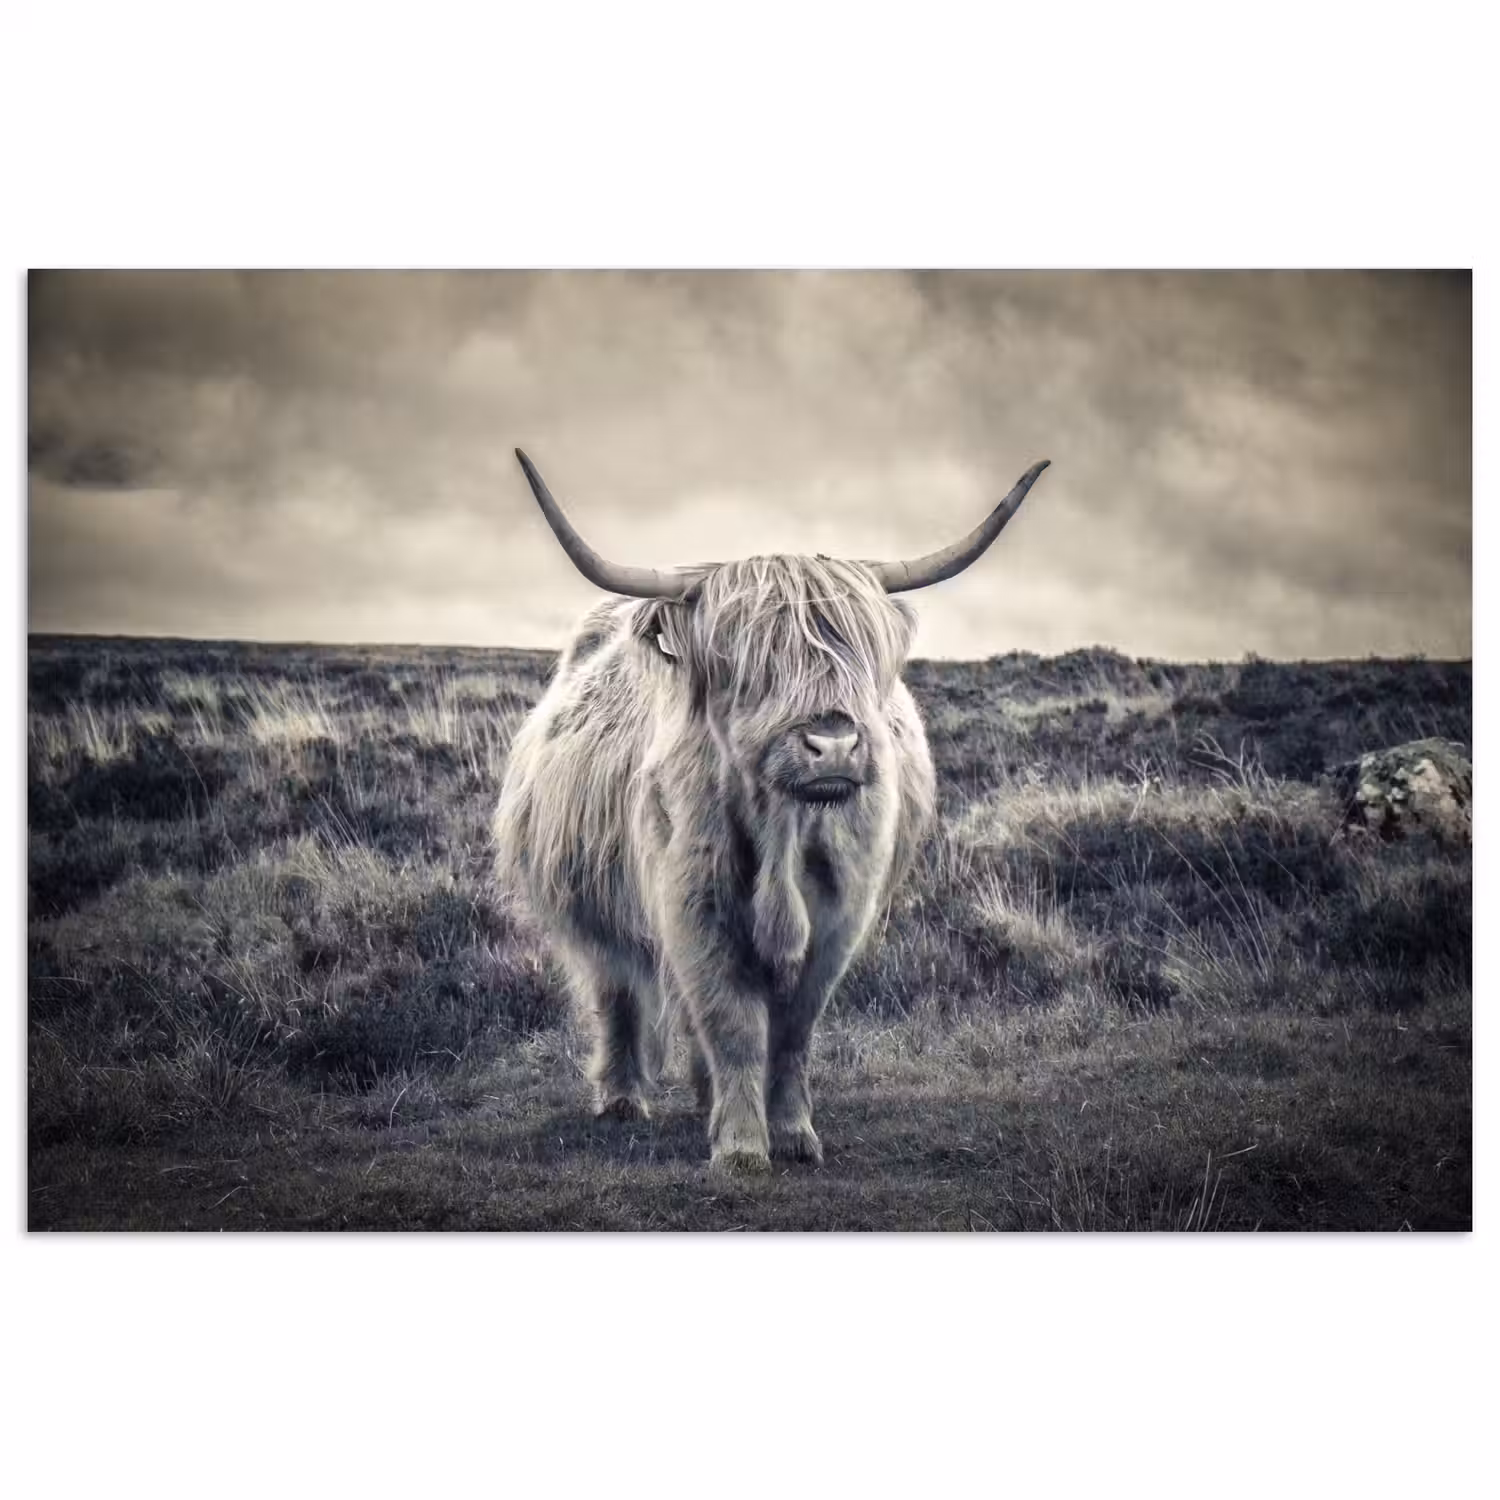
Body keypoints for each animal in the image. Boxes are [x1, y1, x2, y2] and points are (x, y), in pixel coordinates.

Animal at [494, 448, 1049, 1173]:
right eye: (747, 662)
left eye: (859, 653)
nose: (833, 743)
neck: (784, 829)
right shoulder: (693, 906)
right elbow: (730, 1021)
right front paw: (740, 1146)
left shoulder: (840, 917)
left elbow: (792, 1030)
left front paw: (791, 1133)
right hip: (591, 906)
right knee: (616, 990)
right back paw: (621, 1098)